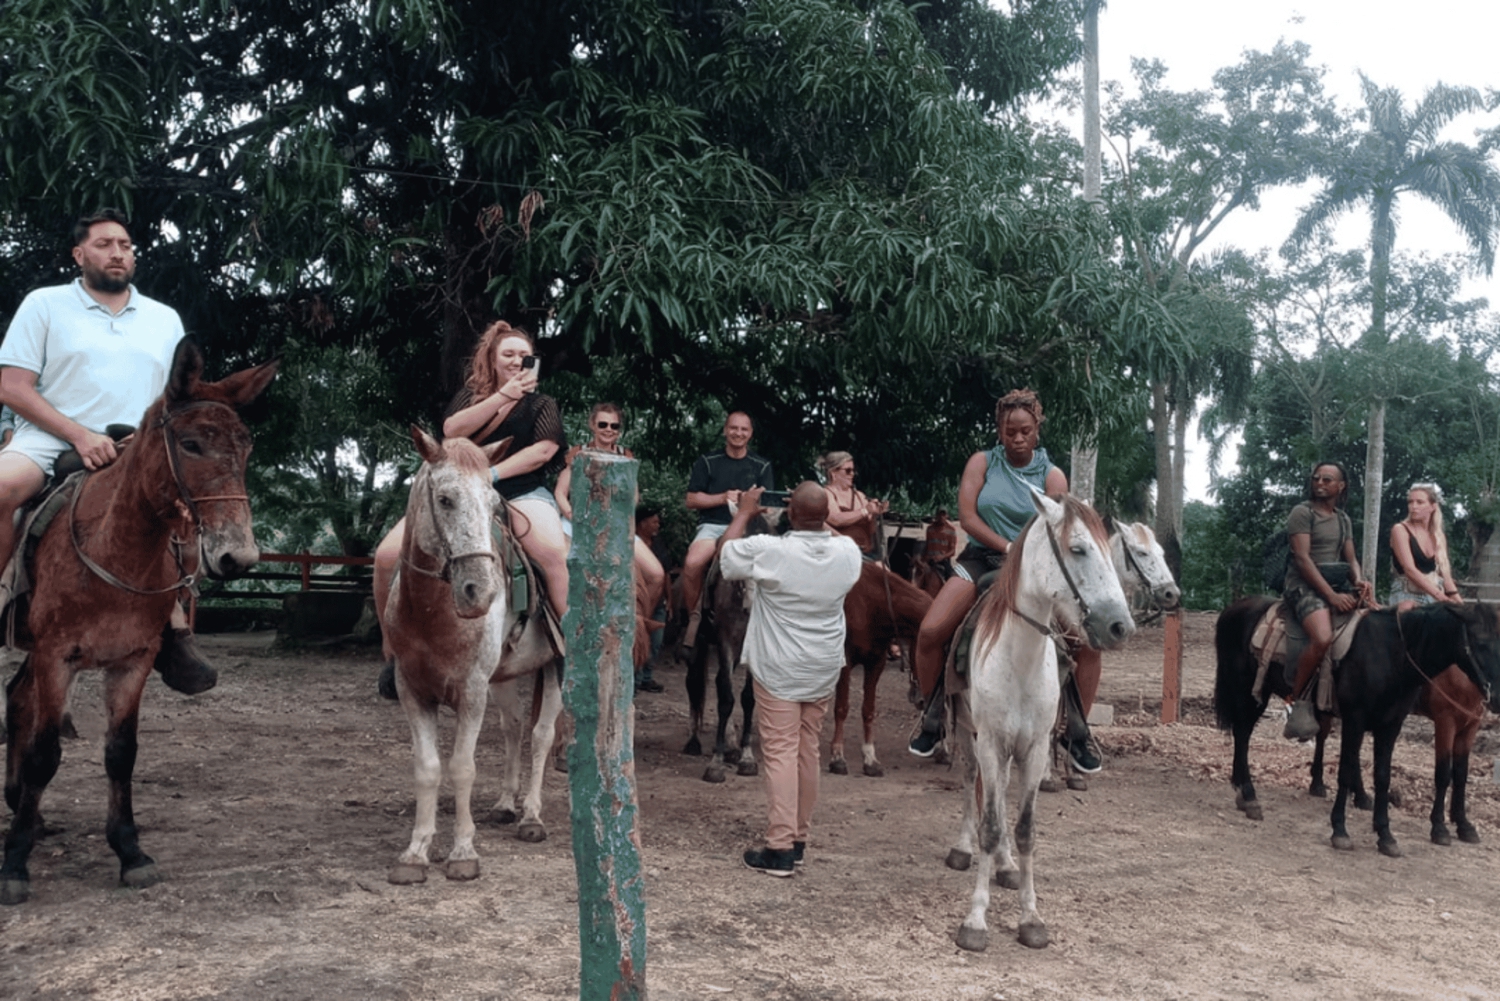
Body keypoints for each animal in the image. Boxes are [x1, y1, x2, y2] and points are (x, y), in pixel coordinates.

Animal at [2, 341, 277, 905]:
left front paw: (130, 853)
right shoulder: (56, 656)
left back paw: (24, 809)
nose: (238, 557)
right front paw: (15, 865)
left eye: (246, 448)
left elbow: (121, 753)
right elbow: (45, 754)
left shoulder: (132, 661)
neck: (113, 548)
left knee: (16, 699)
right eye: (191, 444)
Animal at [379, 428, 563, 885]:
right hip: (503, 677)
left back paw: (531, 816)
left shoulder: (471, 691)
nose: (480, 591)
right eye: (445, 499)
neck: (431, 613)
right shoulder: (412, 690)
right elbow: (427, 768)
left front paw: (463, 852)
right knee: (514, 727)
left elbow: (462, 766)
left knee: (541, 735)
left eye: (493, 502)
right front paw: (415, 852)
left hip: (556, 667)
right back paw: (506, 804)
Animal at [827, 561, 932, 777]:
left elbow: (868, 710)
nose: (922, 700)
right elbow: (841, 708)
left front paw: (870, 759)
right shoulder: (845, 663)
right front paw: (837, 758)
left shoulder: (876, 663)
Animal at [946, 493, 1134, 952]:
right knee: (972, 786)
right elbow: (990, 824)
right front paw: (975, 920)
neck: (1020, 660)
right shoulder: (990, 741)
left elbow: (1025, 828)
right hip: (967, 733)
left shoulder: (1031, 751)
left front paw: (1030, 917)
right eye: (1078, 549)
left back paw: (1006, 866)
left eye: (1111, 553)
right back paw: (963, 849)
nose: (1120, 626)